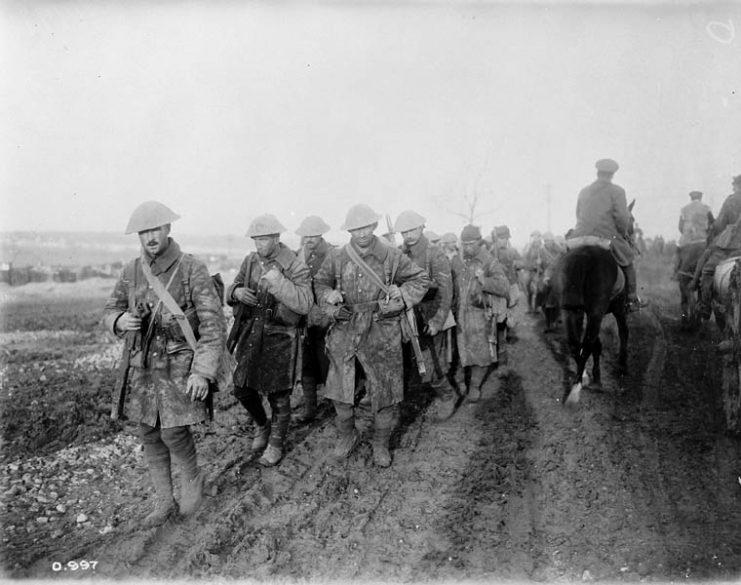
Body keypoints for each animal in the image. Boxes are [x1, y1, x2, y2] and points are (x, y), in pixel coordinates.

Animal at [552, 244, 628, 404]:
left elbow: (593, 345)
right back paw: (576, 390)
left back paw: (581, 380)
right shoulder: (613, 309)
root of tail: (583, 256)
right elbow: (622, 332)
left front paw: (594, 378)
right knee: (589, 344)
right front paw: (622, 366)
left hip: (571, 311)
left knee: (575, 344)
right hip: (599, 312)